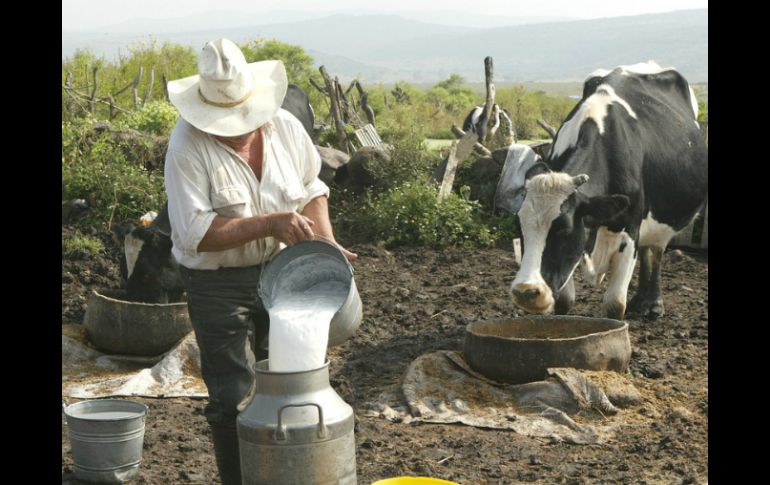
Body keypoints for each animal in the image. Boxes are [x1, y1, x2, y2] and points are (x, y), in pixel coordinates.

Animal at [500, 63, 704, 322]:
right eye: (520, 226)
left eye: (564, 228)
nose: (526, 292)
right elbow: (565, 301)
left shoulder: (630, 228)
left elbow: (614, 305)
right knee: (647, 251)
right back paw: (640, 300)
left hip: (662, 221)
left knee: (656, 252)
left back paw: (653, 303)